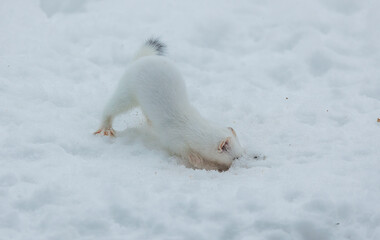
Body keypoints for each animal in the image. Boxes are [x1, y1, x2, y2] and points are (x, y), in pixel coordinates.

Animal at [95, 39, 243, 171]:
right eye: (235, 157)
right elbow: (184, 151)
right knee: (111, 107)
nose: (241, 162)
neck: (190, 126)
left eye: (241, 152)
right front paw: (196, 159)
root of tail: (143, 58)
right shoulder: (173, 139)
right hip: (127, 90)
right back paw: (106, 128)